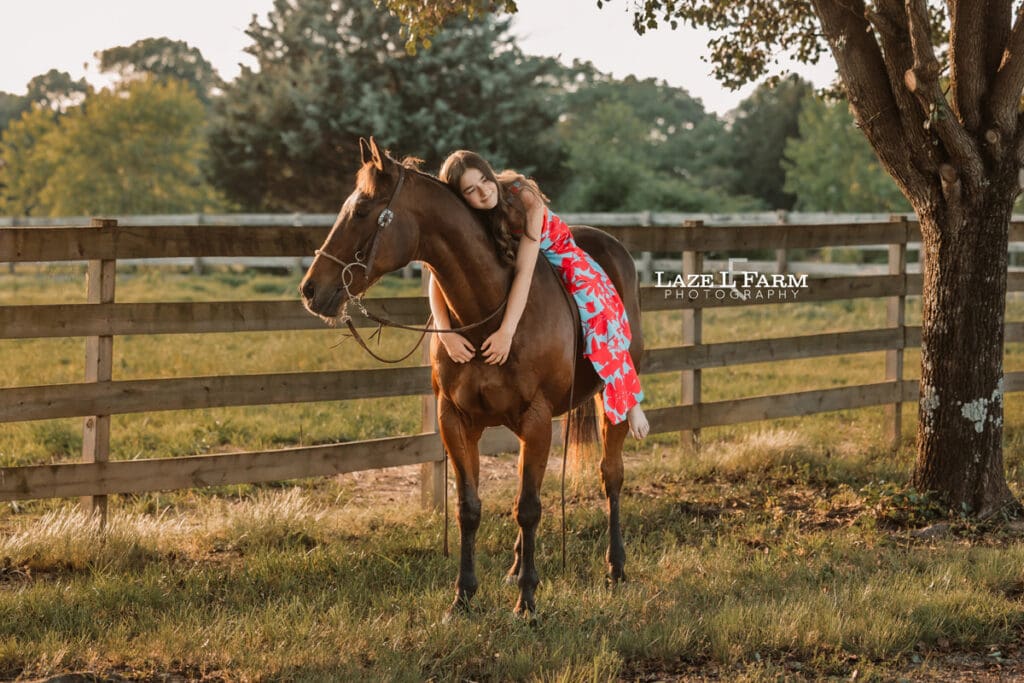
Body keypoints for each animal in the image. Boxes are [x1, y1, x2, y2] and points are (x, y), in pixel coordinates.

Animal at [300, 137, 644, 616]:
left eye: (364, 210)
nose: (311, 289)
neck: (488, 310)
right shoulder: (456, 420)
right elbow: (470, 507)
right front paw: (463, 596)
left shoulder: (536, 418)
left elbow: (529, 508)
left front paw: (527, 601)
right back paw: (516, 567)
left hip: (610, 403)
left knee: (610, 475)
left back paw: (615, 567)